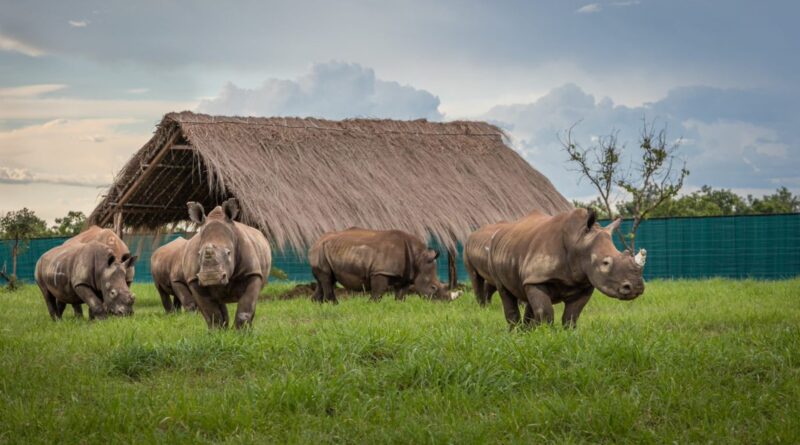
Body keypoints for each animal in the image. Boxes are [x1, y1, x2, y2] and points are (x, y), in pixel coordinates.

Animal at [183, 199, 272, 329]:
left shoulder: (252, 273)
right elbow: (211, 312)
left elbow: (245, 308)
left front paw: (242, 333)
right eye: (198, 254)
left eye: (229, 253)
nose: (210, 277)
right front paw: (216, 332)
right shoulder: (193, 279)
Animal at [308, 228, 462, 303]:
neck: (418, 258)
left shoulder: (405, 275)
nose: (446, 302)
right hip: (320, 250)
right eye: (433, 287)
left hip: (324, 250)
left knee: (325, 280)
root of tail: (315, 242)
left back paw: (316, 304)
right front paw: (371, 305)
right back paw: (334, 305)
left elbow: (401, 293)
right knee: (327, 280)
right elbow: (378, 292)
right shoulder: (380, 271)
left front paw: (398, 305)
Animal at [464, 208, 646, 328]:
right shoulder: (538, 277)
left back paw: (525, 333)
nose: (636, 288)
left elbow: (571, 317)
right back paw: (514, 332)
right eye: (605, 263)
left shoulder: (584, 284)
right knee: (501, 289)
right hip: (489, 251)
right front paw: (547, 336)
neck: (578, 243)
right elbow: (546, 313)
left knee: (526, 292)